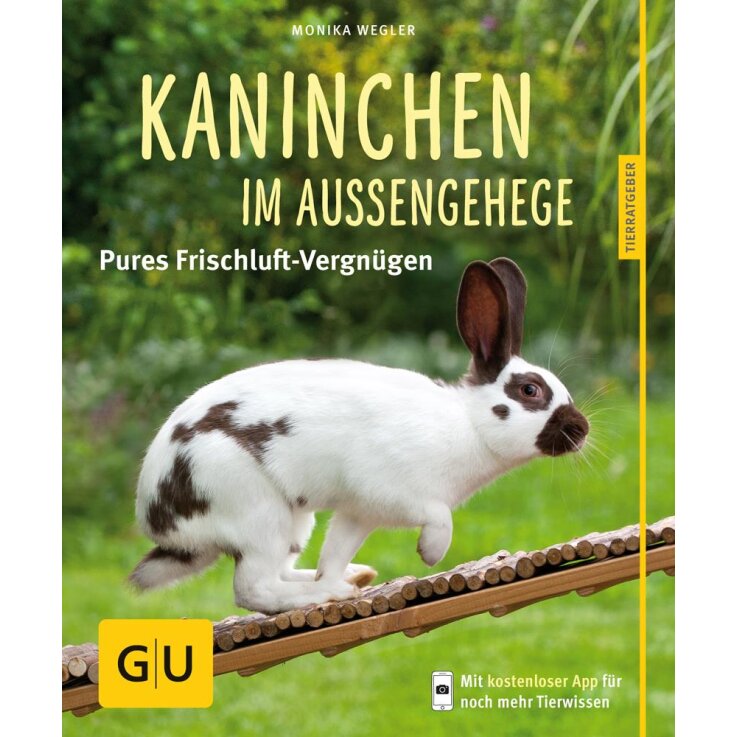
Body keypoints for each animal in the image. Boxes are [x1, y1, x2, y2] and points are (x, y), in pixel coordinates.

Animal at [129, 257, 589, 614]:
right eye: (530, 391)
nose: (581, 429)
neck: (469, 424)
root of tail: (160, 519)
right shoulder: (394, 490)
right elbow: (440, 517)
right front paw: (431, 552)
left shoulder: (358, 512)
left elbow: (335, 550)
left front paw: (343, 573)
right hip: (254, 508)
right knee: (254, 589)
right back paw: (324, 596)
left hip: (296, 522)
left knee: (284, 572)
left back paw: (350, 579)